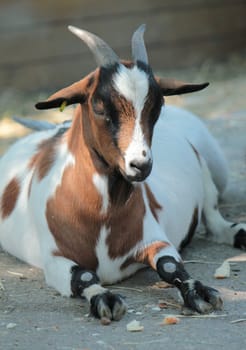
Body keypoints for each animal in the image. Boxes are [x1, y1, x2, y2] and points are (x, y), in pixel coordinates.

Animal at [0, 23, 246, 320]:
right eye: (99, 106)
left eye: (157, 107)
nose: (140, 165)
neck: (100, 215)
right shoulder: (54, 259)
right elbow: (82, 277)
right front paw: (104, 300)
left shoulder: (153, 237)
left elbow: (169, 266)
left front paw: (200, 292)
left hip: (206, 179)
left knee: (216, 222)